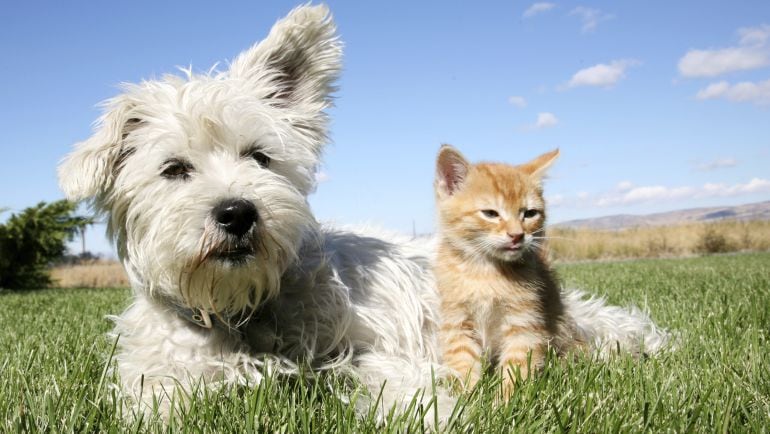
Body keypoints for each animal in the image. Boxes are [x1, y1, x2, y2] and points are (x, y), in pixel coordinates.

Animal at [432, 144, 576, 396]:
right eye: (490, 213)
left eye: (529, 213)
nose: (517, 235)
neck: (485, 272)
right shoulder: (457, 321)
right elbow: (463, 362)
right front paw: (466, 399)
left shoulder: (525, 322)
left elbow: (517, 365)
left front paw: (506, 400)